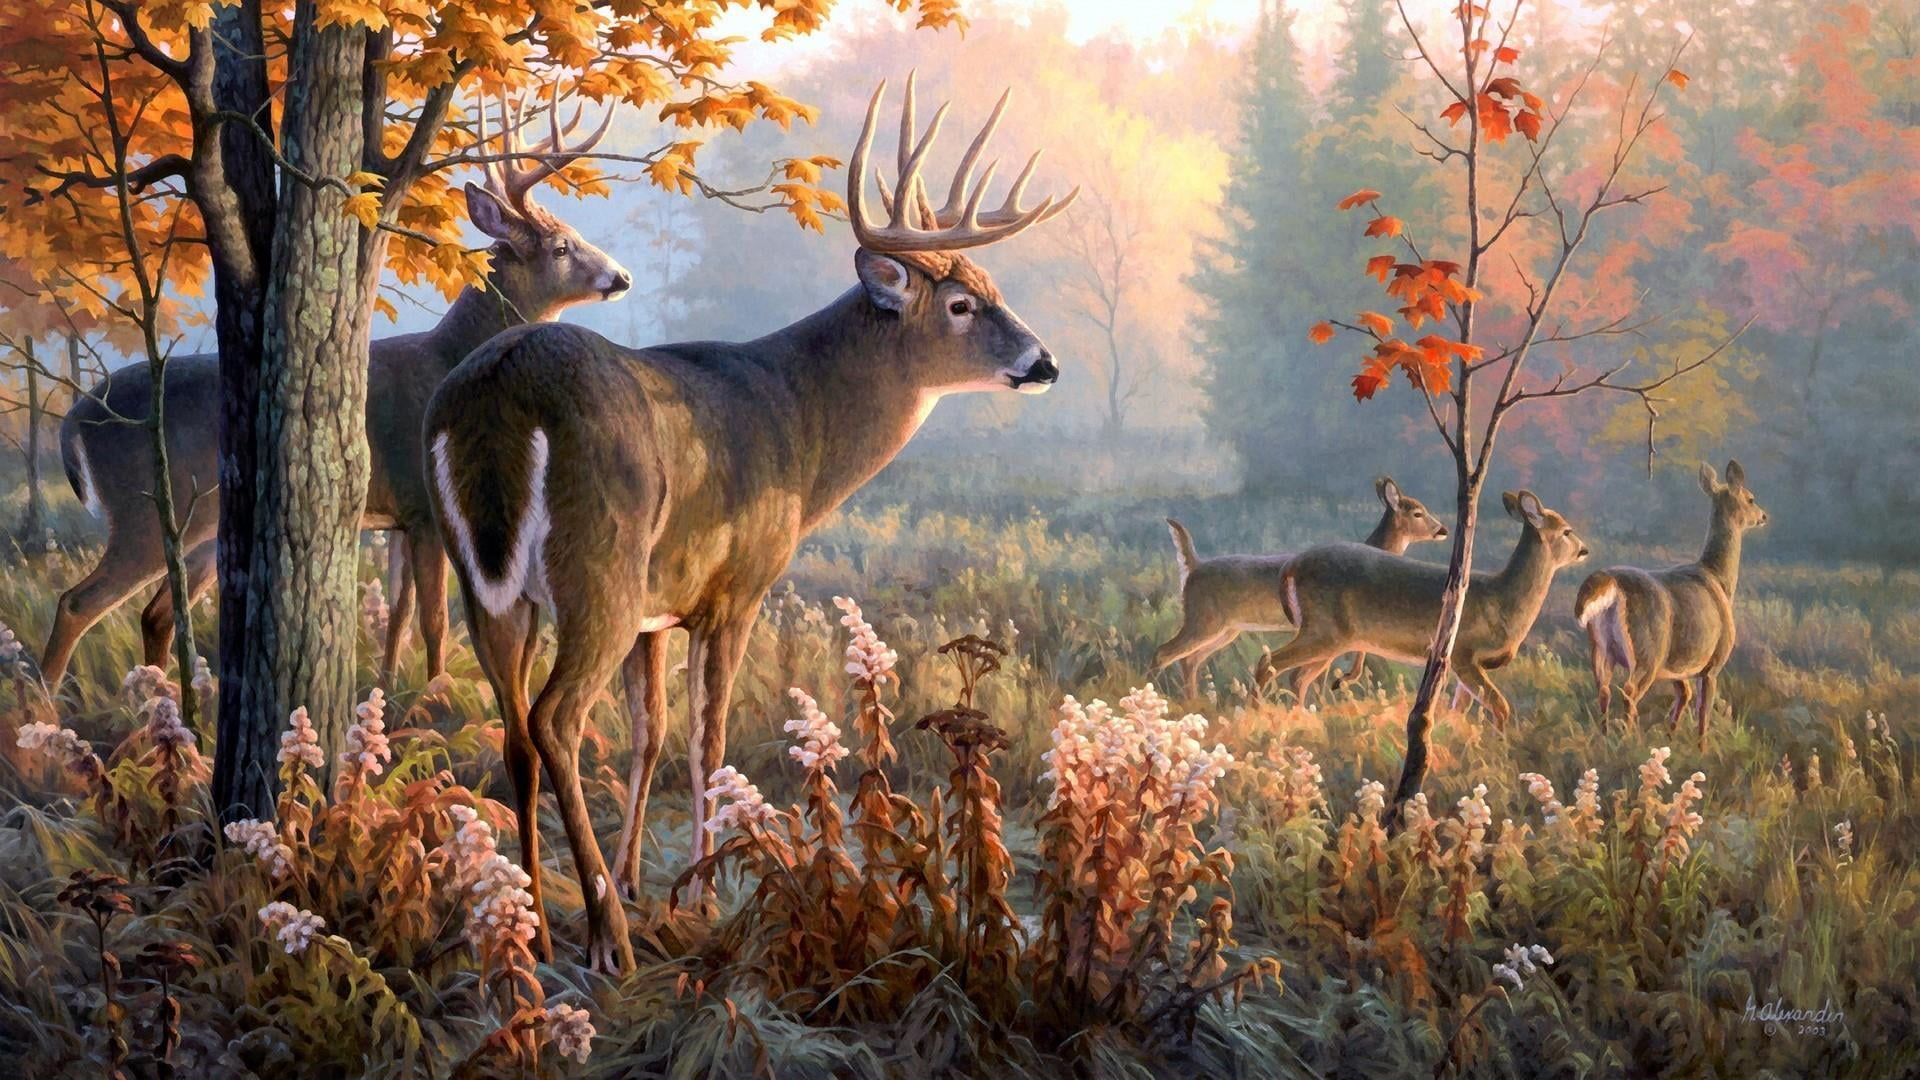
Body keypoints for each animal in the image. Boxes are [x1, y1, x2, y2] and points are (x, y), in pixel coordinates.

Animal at [41, 92, 628, 693]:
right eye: (562, 246)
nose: (621, 277)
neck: (451, 356)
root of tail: (73, 419)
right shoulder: (424, 505)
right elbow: (435, 618)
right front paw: (437, 690)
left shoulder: (397, 515)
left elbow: (398, 614)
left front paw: (390, 687)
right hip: (146, 507)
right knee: (77, 603)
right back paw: (44, 705)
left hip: (200, 528)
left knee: (154, 613)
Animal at [424, 74, 1075, 973]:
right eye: (960, 303)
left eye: (994, 286)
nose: (1044, 362)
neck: (796, 427)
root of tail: (496, 394)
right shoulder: (736, 587)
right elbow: (709, 737)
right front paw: (697, 896)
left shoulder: (661, 608)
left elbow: (651, 733)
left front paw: (643, 881)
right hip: (599, 566)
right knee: (557, 719)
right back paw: (606, 940)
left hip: (490, 585)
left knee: (518, 729)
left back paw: (537, 928)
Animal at [1153, 477, 1449, 699]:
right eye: (1418, 512)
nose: (1443, 530)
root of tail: (1194, 567)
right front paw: (1338, 685)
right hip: (1204, 620)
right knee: (1164, 652)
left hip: (1226, 630)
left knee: (1189, 659)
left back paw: (1192, 701)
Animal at [1252, 490, 1590, 730]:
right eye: (1567, 531)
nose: (1585, 550)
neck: (1502, 601)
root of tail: (1291, 566)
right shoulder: (1461, 652)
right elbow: (1500, 706)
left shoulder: (1467, 665)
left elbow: (1460, 711)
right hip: (1323, 630)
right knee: (1268, 662)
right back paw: (1256, 716)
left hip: (1331, 638)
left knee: (1298, 676)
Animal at [1575, 460, 1768, 741]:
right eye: (1751, 498)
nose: (1764, 516)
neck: (1719, 578)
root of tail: (1609, 582)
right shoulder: (1713, 663)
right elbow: (1703, 712)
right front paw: (1701, 746)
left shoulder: (1678, 667)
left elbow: (1683, 697)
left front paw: (1671, 737)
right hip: (1647, 650)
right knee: (1629, 690)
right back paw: (1630, 740)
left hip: (1600, 647)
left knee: (1604, 690)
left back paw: (1605, 737)